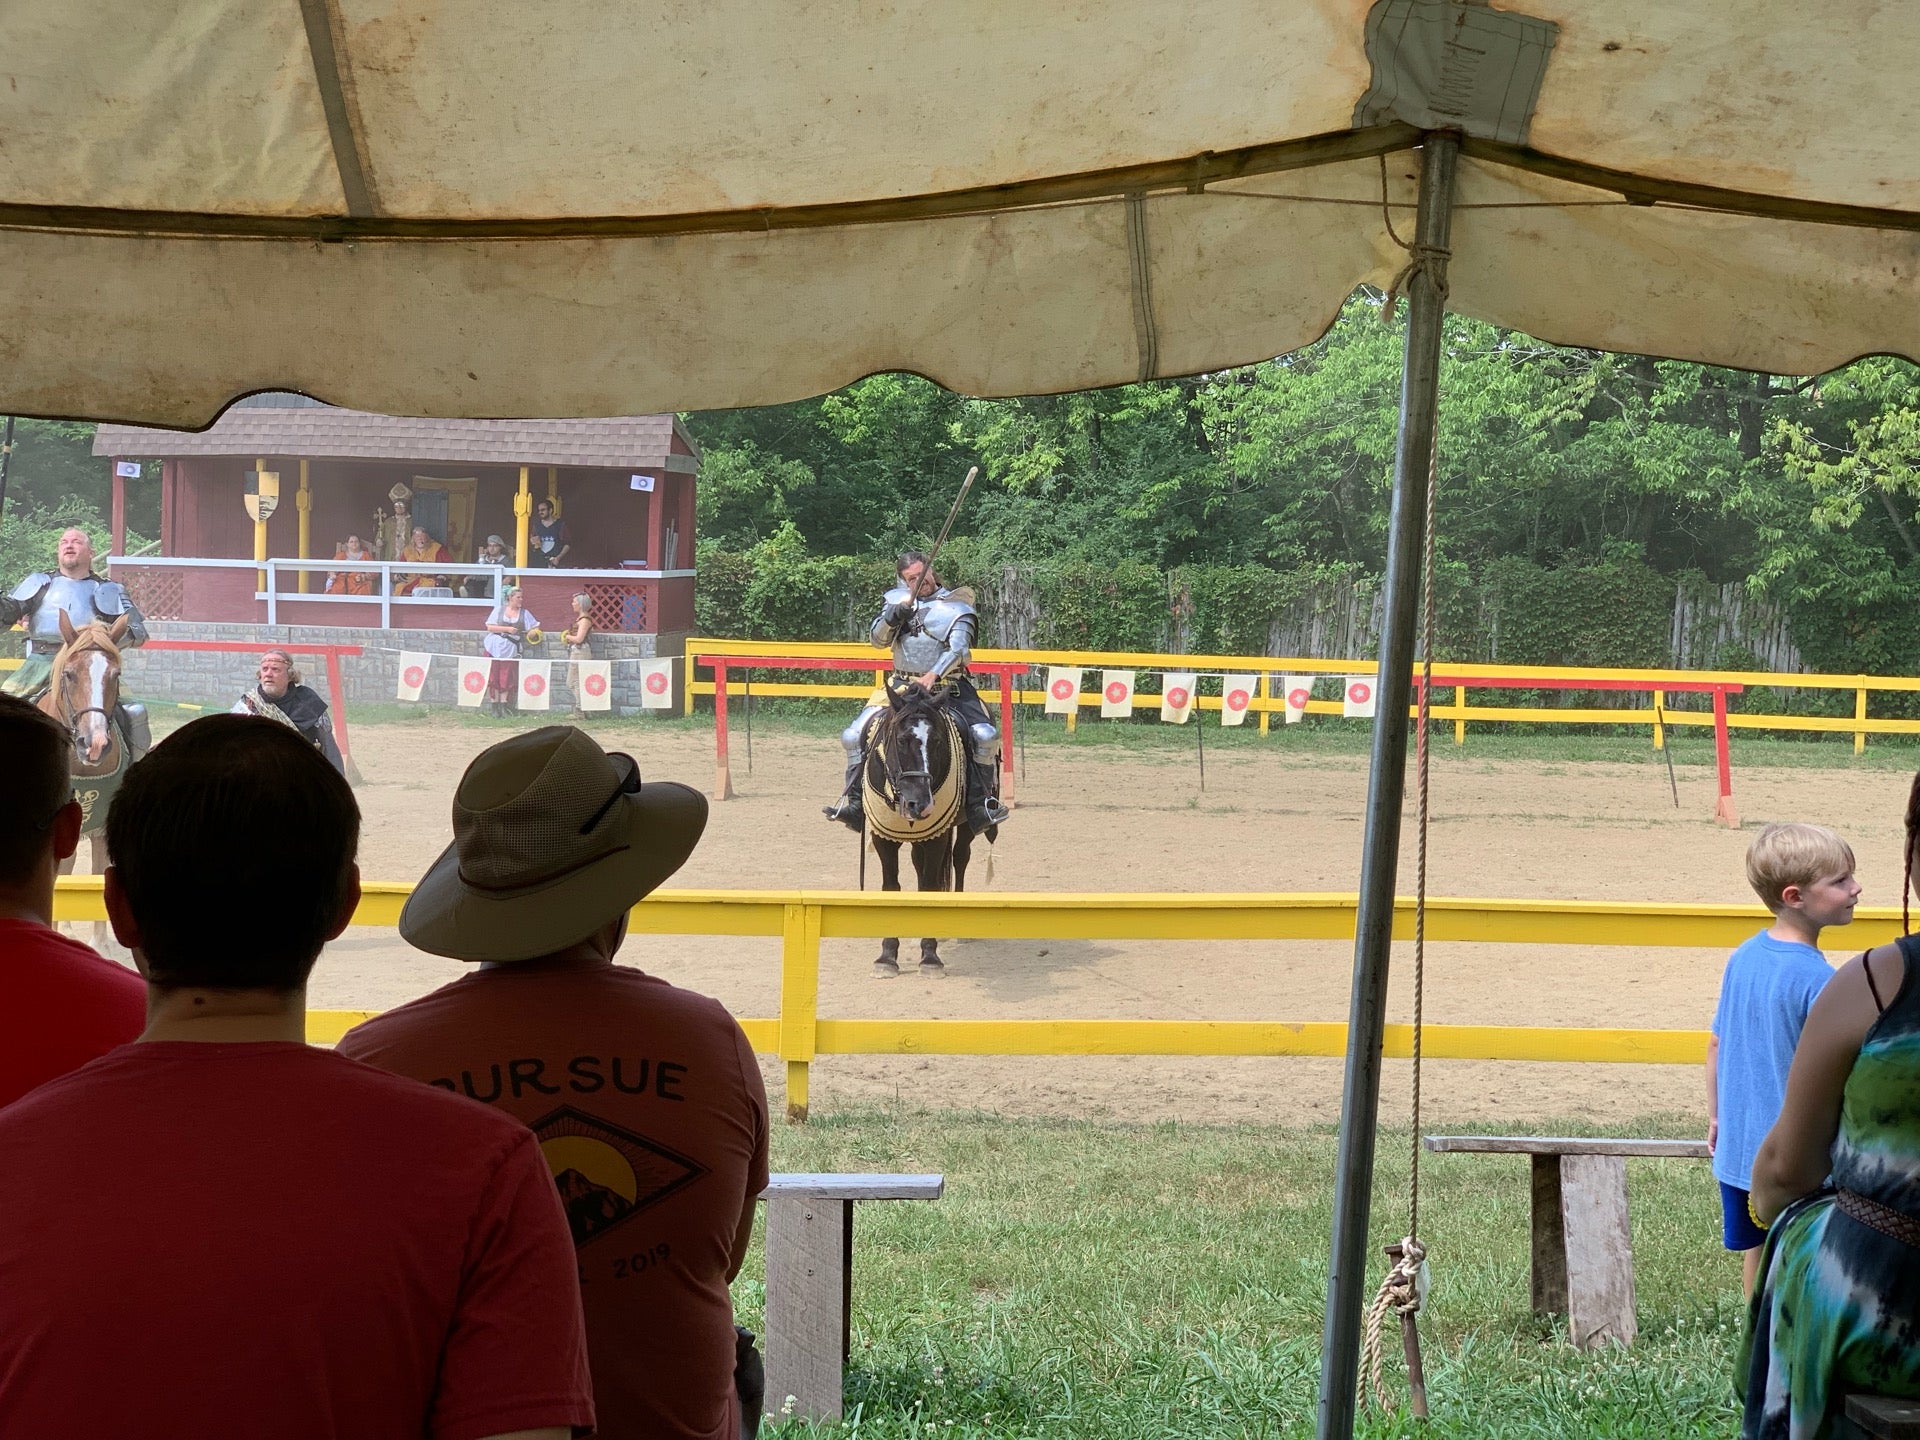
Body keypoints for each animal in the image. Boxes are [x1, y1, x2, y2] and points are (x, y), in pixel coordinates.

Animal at [864, 679, 998, 975]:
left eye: (937, 741)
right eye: (901, 740)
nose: (920, 804)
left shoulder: (939, 836)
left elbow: (929, 886)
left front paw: (930, 957)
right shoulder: (883, 838)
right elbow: (891, 886)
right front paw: (887, 957)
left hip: (963, 826)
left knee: (960, 859)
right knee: (918, 862)